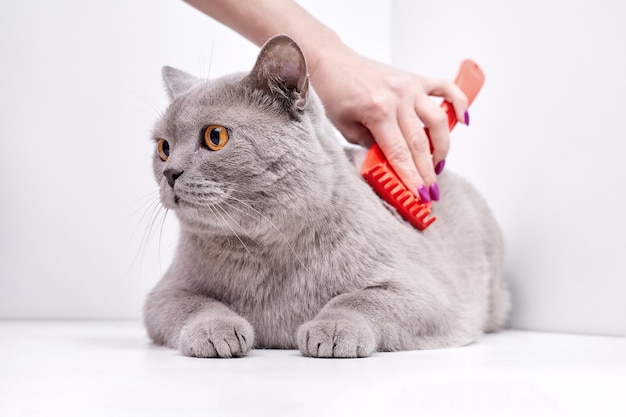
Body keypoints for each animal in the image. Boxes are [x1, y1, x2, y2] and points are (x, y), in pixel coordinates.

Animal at [141, 34, 508, 358]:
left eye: (215, 136)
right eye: (163, 147)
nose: (171, 173)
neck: (264, 249)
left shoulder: (428, 292)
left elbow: (357, 299)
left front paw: (331, 330)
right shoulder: (165, 292)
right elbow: (195, 305)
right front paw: (217, 331)